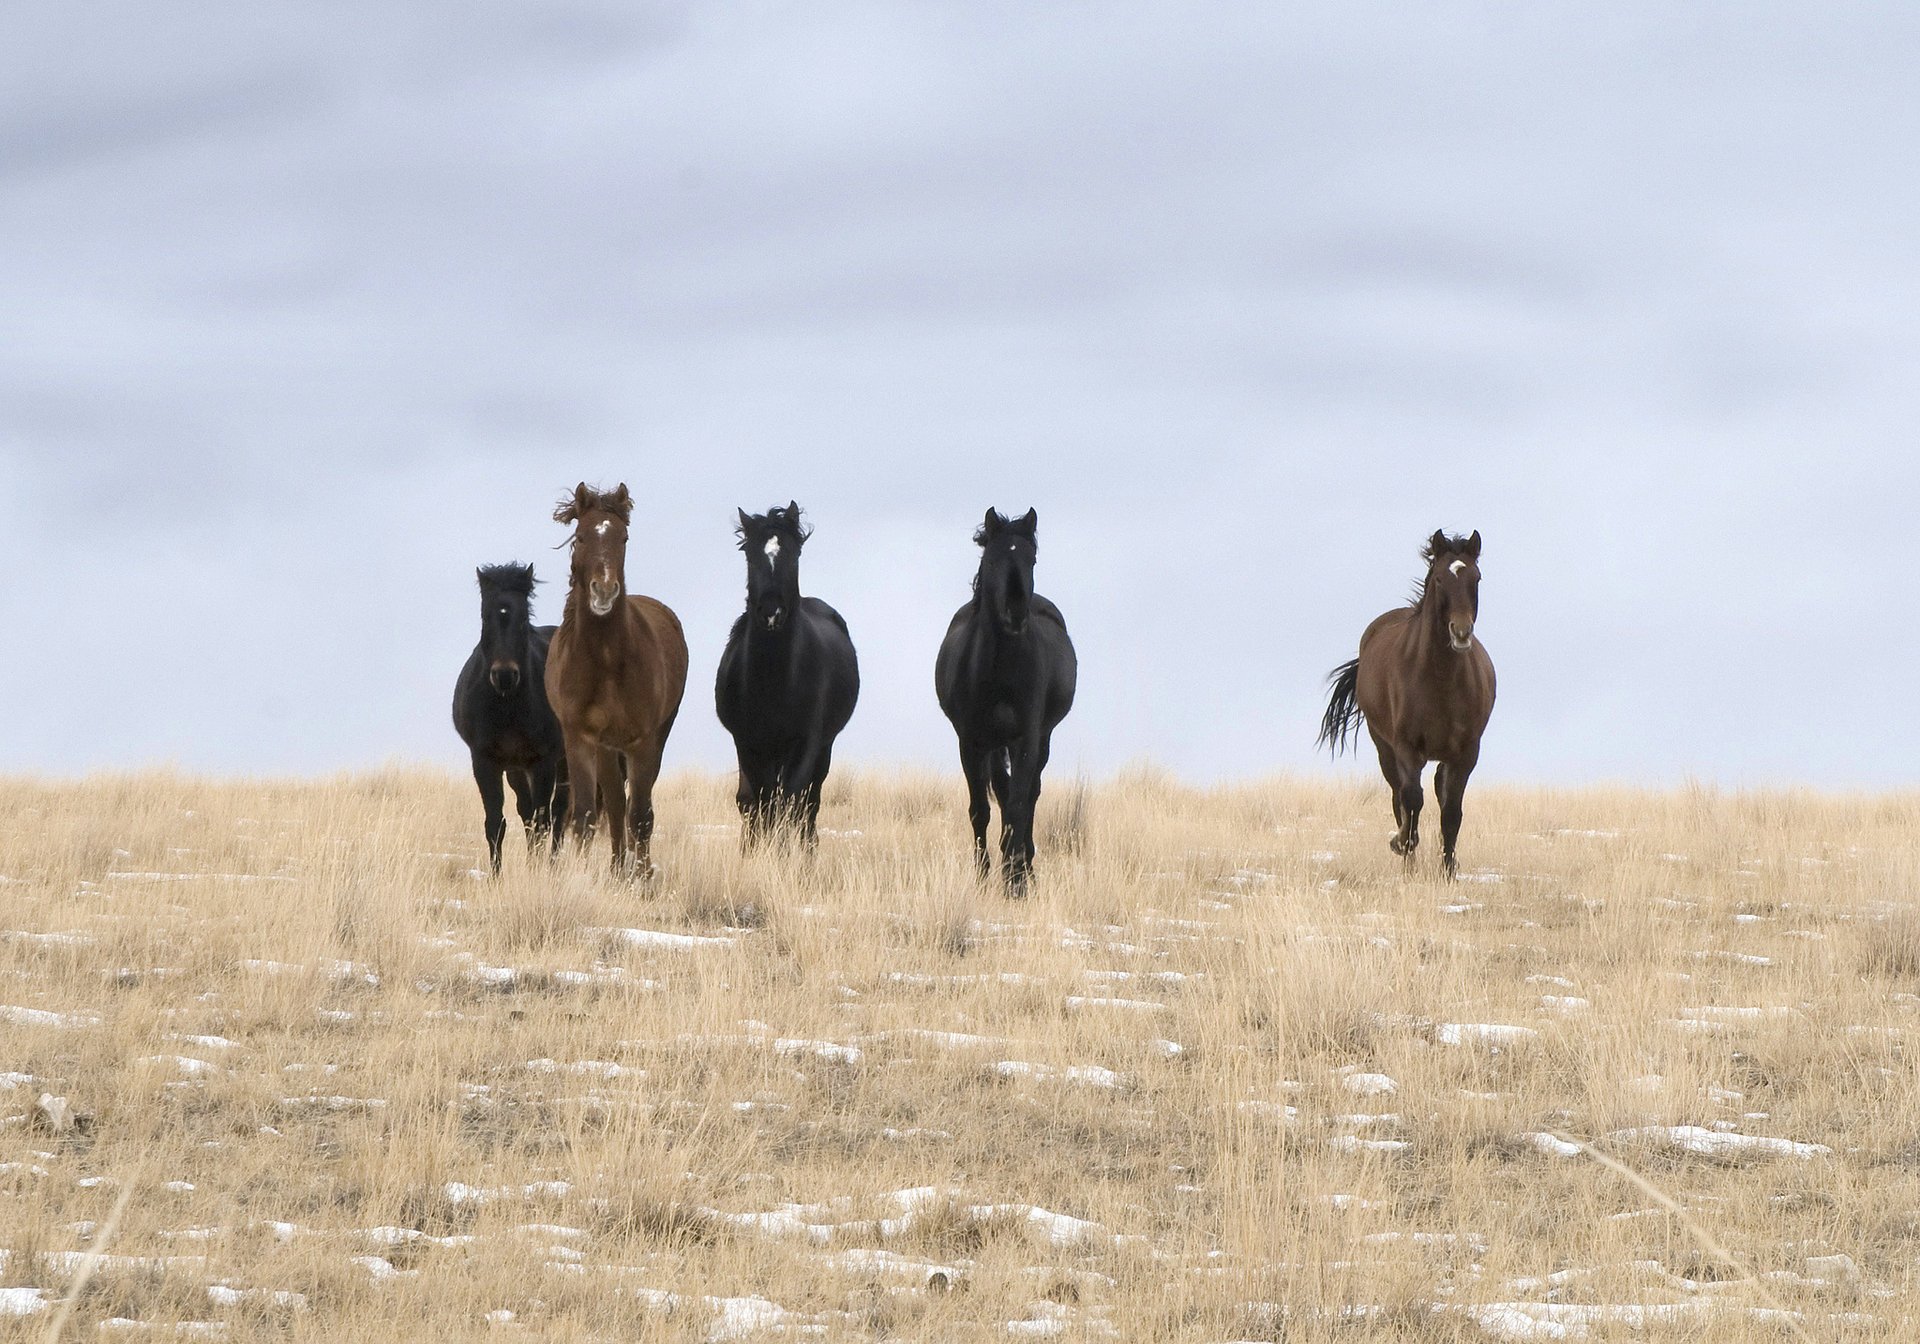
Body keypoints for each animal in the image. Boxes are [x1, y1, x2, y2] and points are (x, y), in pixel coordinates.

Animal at [451, 564, 570, 874]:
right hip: (516, 769)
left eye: (523, 618)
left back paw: (552, 865)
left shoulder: (543, 762)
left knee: (559, 812)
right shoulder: (485, 761)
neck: (507, 705)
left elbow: (543, 822)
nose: (504, 675)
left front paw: (538, 872)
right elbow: (496, 824)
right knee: (526, 813)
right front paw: (495, 876)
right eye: (485, 616)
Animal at [544, 483, 690, 876]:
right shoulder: (579, 737)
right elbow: (586, 816)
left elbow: (640, 815)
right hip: (607, 748)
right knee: (612, 801)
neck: (607, 661)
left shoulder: (643, 740)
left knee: (630, 806)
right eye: (580, 536)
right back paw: (615, 868)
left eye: (623, 537)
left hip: (653, 737)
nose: (604, 591)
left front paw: (642, 876)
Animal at [714, 502, 860, 848]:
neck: (774, 680)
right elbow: (758, 802)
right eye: (749, 554)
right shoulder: (749, 744)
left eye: (794, 555)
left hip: (821, 748)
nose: (771, 612)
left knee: (808, 802)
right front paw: (757, 851)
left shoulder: (805, 744)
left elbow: (790, 802)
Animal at [935, 507, 1077, 894]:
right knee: (1001, 789)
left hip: (1039, 739)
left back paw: (1024, 864)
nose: (1016, 612)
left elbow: (1018, 805)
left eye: (1032, 558)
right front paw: (985, 876)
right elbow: (981, 808)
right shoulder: (971, 741)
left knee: (1028, 796)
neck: (998, 669)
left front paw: (1016, 881)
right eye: (993, 558)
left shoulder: (1026, 738)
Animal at [1318, 529, 1496, 878]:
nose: (1461, 632)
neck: (1440, 679)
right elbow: (1411, 800)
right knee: (1398, 794)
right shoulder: (1406, 747)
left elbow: (1451, 811)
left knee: (1438, 792)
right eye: (1439, 578)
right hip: (1384, 747)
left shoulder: (1466, 753)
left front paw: (1449, 870)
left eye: (1477, 578)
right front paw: (1402, 844)